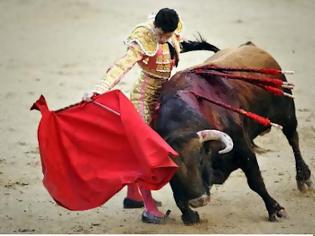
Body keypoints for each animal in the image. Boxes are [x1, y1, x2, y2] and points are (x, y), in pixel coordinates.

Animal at [153, 42, 314, 225]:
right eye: (173, 169)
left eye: (200, 160)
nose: (199, 200)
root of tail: (250, 45)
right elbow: (178, 194)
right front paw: (189, 216)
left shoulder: (244, 152)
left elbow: (256, 182)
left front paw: (275, 209)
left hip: (287, 113)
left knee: (293, 139)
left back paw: (303, 177)